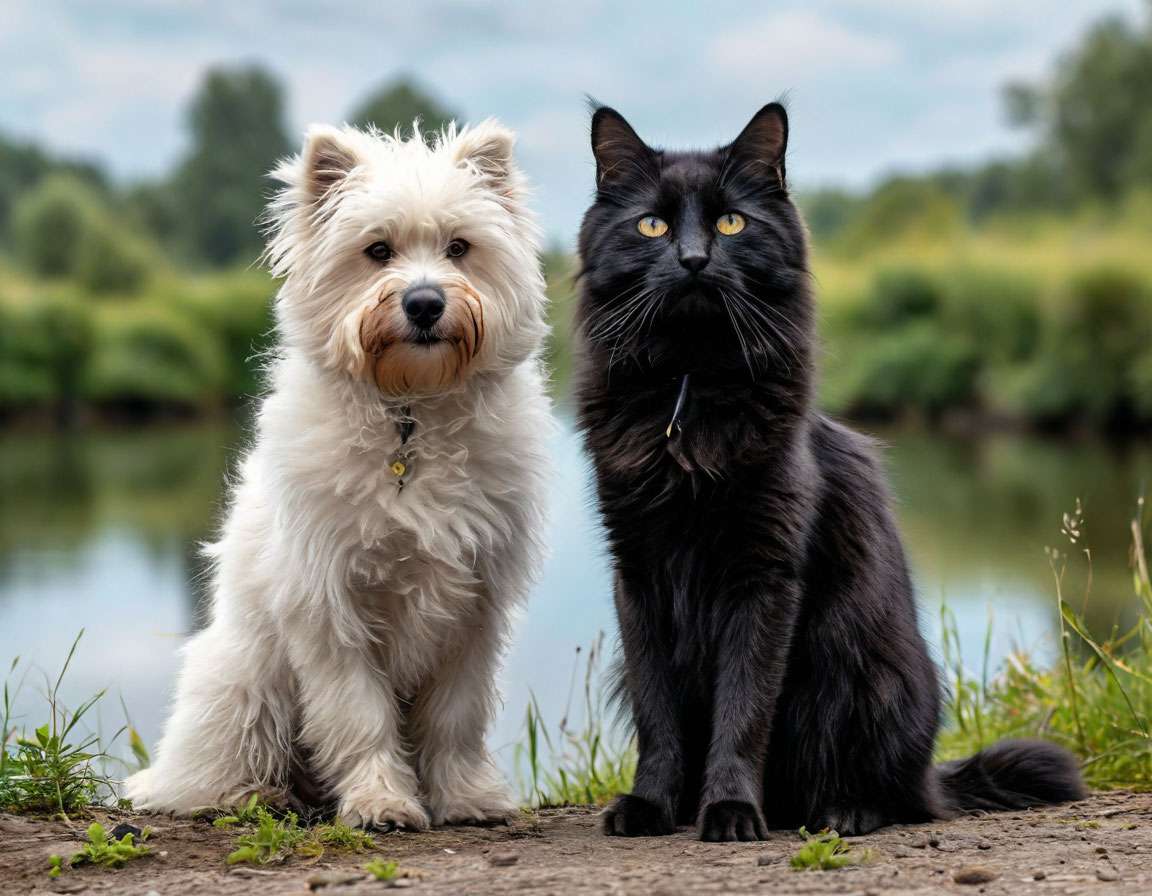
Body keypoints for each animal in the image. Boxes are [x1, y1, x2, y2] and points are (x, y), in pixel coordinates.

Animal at [126, 120, 552, 829]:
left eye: (459, 248)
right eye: (377, 250)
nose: (425, 302)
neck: (410, 417)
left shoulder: (473, 607)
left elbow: (454, 717)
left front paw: (465, 798)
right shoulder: (331, 604)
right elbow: (360, 715)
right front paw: (382, 801)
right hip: (247, 683)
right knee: (219, 767)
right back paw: (254, 795)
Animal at [576, 103, 1087, 838]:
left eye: (731, 223)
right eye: (652, 225)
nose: (694, 259)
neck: (690, 391)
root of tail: (928, 774)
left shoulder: (765, 574)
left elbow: (743, 710)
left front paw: (730, 810)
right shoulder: (638, 572)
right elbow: (659, 716)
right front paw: (651, 806)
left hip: (858, 676)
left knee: (886, 795)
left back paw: (842, 813)